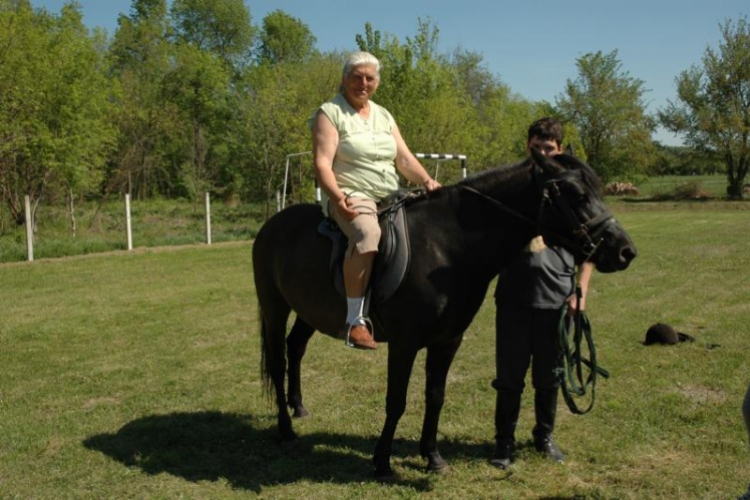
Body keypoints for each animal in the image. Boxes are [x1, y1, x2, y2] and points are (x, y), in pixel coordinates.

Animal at [251, 149, 636, 480]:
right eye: (576, 194)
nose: (625, 251)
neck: (445, 247)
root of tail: (273, 224)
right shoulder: (404, 344)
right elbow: (396, 401)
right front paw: (382, 462)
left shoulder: (448, 340)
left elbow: (435, 396)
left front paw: (432, 456)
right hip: (274, 306)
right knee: (279, 360)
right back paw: (285, 427)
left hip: (308, 312)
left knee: (296, 348)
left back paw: (299, 407)